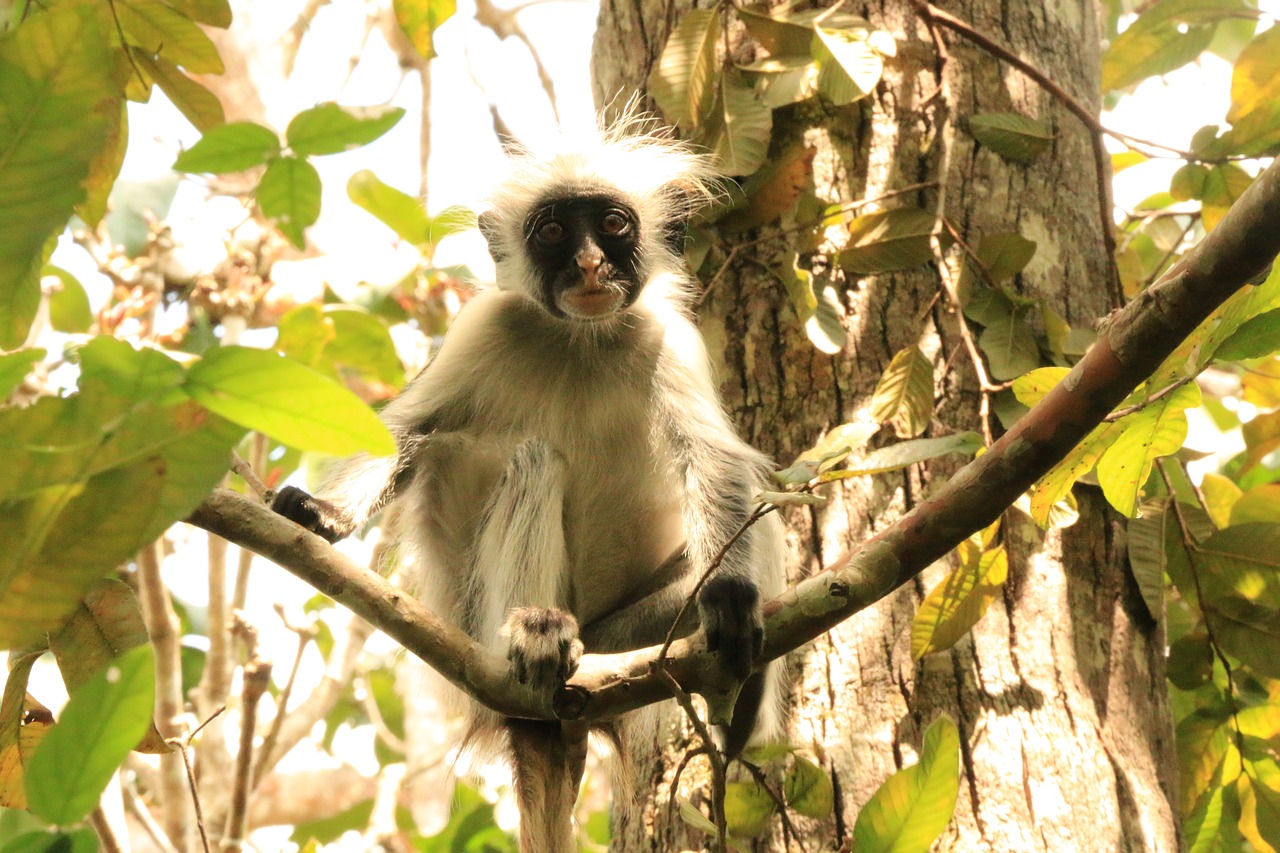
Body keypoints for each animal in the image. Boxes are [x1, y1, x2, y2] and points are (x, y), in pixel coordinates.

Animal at [275, 122, 783, 845]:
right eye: (552, 232)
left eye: (612, 225)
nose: (592, 265)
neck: (580, 339)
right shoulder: (484, 325)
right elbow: (406, 430)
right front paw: (323, 513)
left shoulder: (669, 339)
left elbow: (714, 462)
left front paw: (731, 595)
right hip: (478, 615)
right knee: (533, 459)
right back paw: (538, 635)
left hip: (625, 634)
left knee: (766, 519)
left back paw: (735, 703)